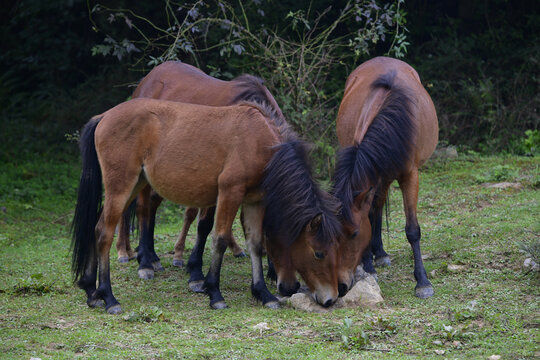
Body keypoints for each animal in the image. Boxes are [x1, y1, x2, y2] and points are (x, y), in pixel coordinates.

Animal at [71, 97, 342, 312]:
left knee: (96, 228)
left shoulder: (255, 201)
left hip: (134, 185)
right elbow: (219, 238)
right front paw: (214, 292)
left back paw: (91, 291)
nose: (330, 298)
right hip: (121, 187)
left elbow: (255, 244)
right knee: (104, 233)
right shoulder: (230, 192)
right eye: (318, 253)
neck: (259, 141)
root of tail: (104, 116)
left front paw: (263, 294)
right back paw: (108, 297)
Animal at [330, 57, 438, 298]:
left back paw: (379, 253)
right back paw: (377, 254)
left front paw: (422, 281)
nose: (341, 286)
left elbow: (412, 230)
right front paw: (368, 268)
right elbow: (369, 214)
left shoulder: (410, 175)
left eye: (354, 234)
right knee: (375, 207)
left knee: (378, 206)